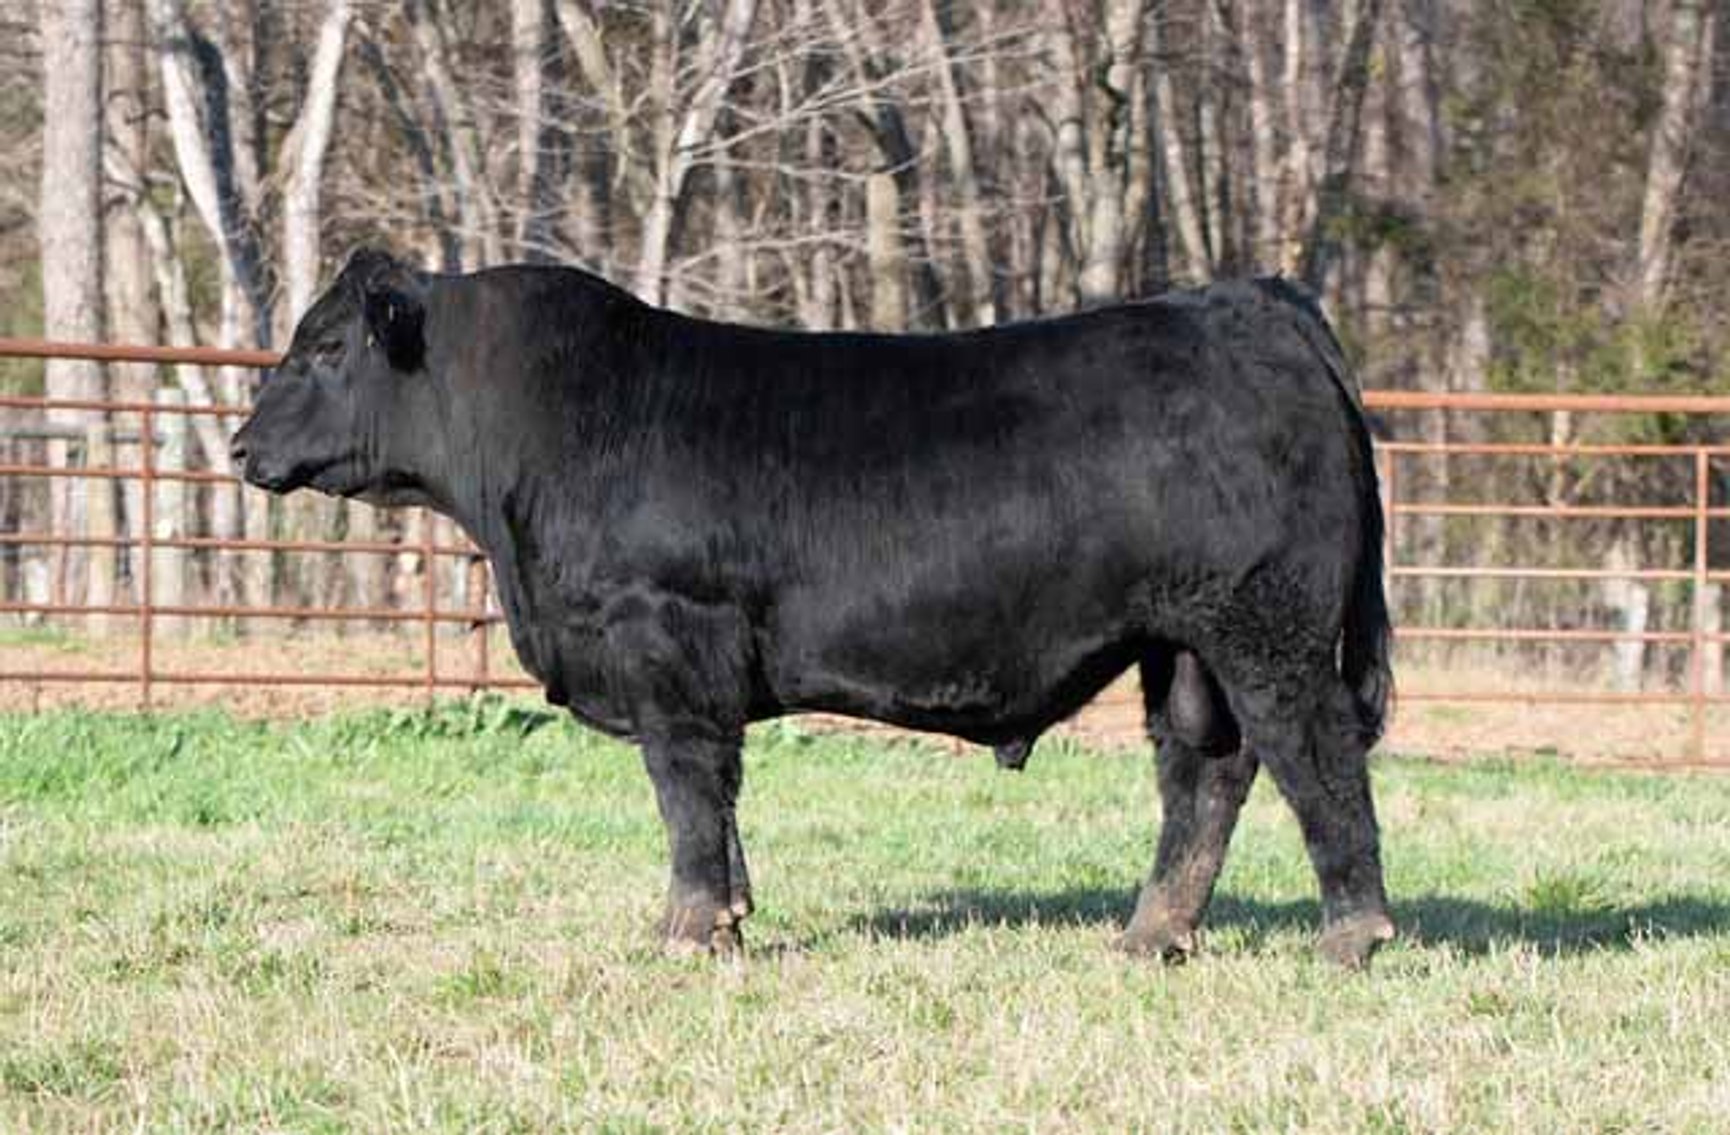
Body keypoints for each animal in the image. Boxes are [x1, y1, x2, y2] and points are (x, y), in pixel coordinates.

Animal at [230, 250, 1395, 967]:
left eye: (324, 349)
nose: (240, 446)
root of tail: (1247, 302)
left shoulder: (667, 641)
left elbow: (687, 789)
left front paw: (687, 930)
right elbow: (716, 802)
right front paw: (731, 919)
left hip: (1267, 626)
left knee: (1315, 752)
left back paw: (1352, 934)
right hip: (1185, 642)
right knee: (1206, 770)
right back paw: (1151, 934)